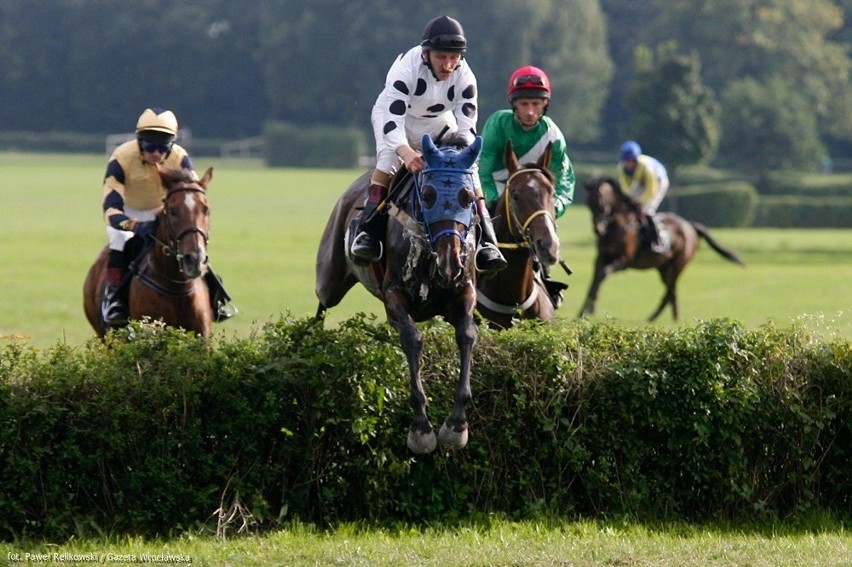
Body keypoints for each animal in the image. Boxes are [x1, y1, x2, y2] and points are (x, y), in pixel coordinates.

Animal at [316, 132, 482, 452]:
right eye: (427, 195)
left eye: (467, 197)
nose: (450, 262)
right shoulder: (395, 294)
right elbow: (412, 338)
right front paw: (421, 429)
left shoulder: (463, 291)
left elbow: (467, 334)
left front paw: (456, 425)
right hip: (330, 277)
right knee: (322, 303)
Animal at [580, 178, 744, 322]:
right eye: (588, 203)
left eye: (601, 202)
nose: (597, 229)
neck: (619, 225)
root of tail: (690, 227)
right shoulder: (601, 257)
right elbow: (595, 280)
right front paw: (584, 311)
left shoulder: (624, 261)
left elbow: (603, 274)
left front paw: (589, 309)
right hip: (663, 268)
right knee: (672, 291)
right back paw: (673, 318)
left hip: (677, 265)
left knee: (670, 291)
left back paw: (656, 318)